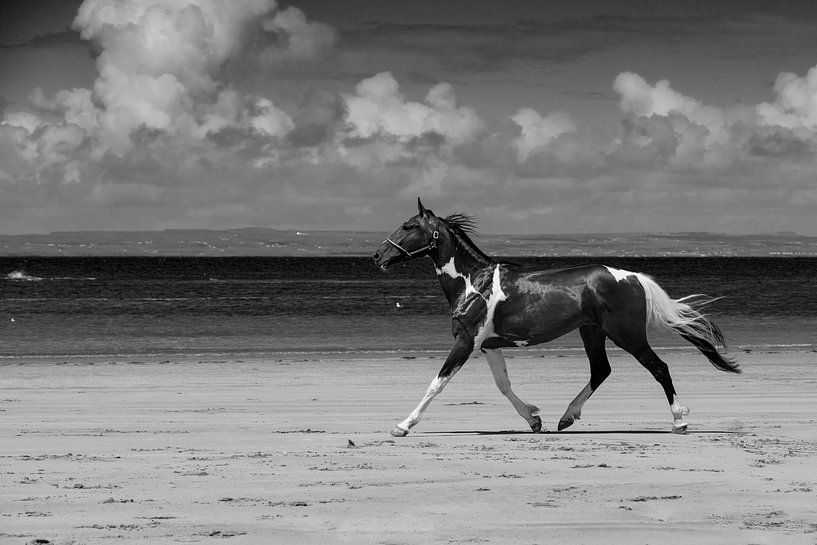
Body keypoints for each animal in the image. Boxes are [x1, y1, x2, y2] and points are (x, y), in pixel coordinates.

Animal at [372, 199, 740, 437]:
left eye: (408, 226)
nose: (377, 255)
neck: (473, 283)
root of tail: (634, 276)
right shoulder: (488, 345)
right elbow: (503, 385)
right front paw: (534, 420)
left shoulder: (465, 341)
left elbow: (437, 384)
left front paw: (402, 426)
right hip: (592, 332)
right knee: (601, 370)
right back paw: (566, 418)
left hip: (627, 335)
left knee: (659, 368)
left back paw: (679, 421)